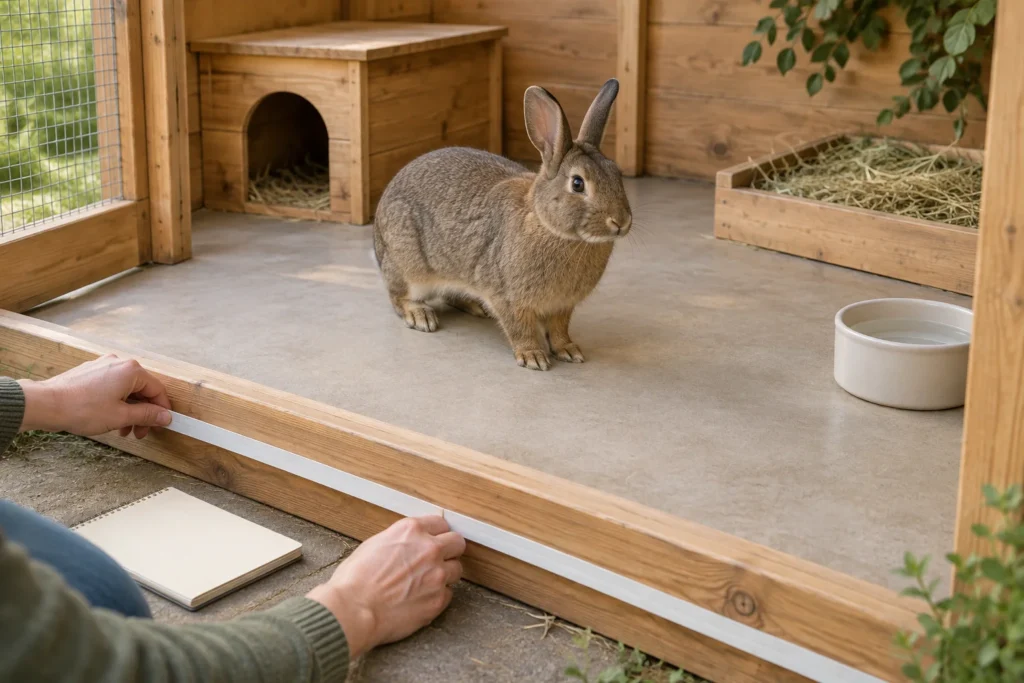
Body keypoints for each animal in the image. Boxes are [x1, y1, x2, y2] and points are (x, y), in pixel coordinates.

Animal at [372, 78, 632, 371]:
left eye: (616, 173)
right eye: (578, 184)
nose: (621, 222)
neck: (546, 225)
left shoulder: (562, 306)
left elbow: (559, 330)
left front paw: (569, 350)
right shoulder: (508, 298)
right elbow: (520, 329)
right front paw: (533, 356)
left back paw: (476, 308)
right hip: (408, 265)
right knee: (399, 297)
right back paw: (420, 316)